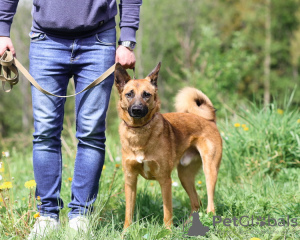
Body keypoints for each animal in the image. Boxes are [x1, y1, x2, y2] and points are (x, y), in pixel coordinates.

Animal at [113, 62, 221, 229]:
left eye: (146, 94)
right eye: (129, 94)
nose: (137, 110)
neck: (140, 132)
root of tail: (209, 119)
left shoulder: (165, 180)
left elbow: (167, 212)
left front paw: (168, 231)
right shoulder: (130, 180)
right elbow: (128, 213)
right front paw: (126, 232)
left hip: (209, 171)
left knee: (210, 204)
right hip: (184, 176)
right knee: (196, 203)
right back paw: (188, 226)